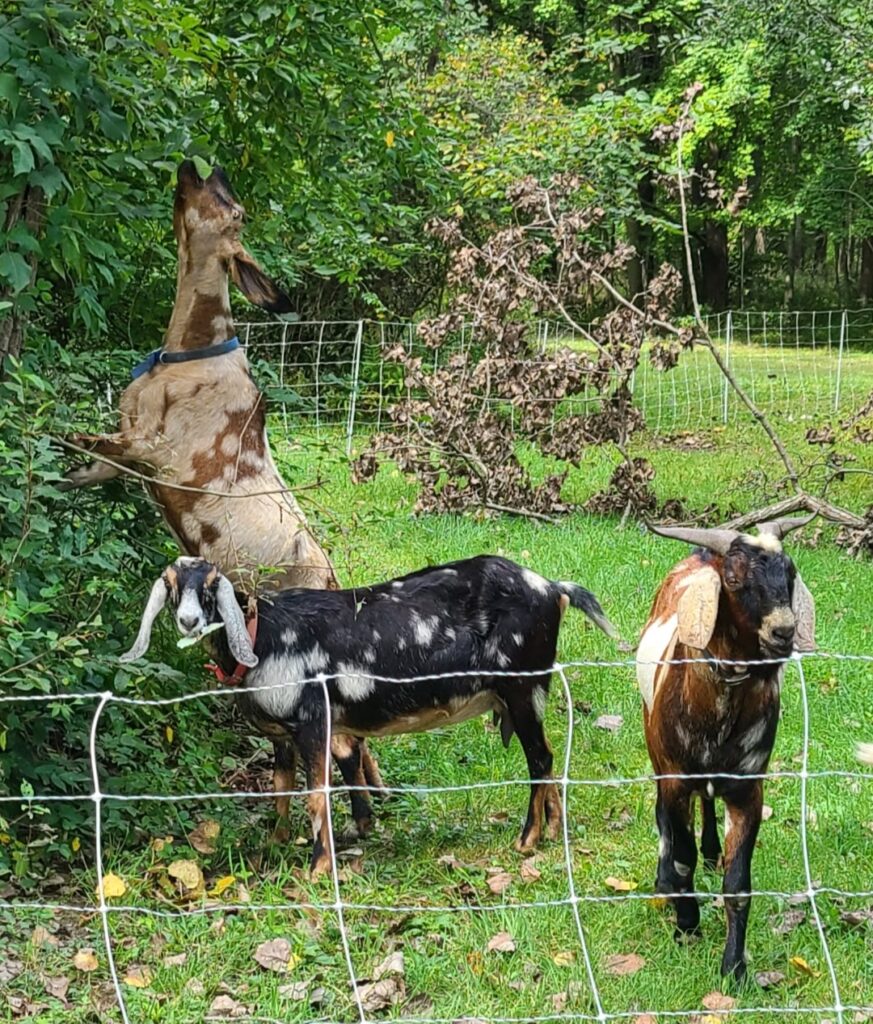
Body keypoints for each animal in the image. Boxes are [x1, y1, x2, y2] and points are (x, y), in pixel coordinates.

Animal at [61, 160, 383, 839]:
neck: (190, 348)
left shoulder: (154, 451)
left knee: (343, 746)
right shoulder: (115, 462)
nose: (201, 164)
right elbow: (76, 467)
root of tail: (337, 582)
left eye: (233, 209)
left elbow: (74, 433)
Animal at [122, 554, 618, 875]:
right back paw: (553, 830)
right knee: (548, 758)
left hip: (521, 685)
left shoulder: (314, 720)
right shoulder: (282, 735)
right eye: (171, 585)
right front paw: (275, 846)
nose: (188, 622)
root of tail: (554, 588)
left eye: (211, 587)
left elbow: (316, 795)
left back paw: (527, 840)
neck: (265, 635)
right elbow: (281, 790)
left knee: (540, 759)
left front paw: (318, 869)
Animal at [636, 516, 816, 982]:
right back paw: (665, 877)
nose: (783, 631)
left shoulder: (748, 788)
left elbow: (738, 884)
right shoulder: (676, 778)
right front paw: (686, 926)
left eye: (790, 573)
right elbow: (682, 859)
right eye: (733, 579)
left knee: (707, 802)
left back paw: (713, 850)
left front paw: (734, 966)